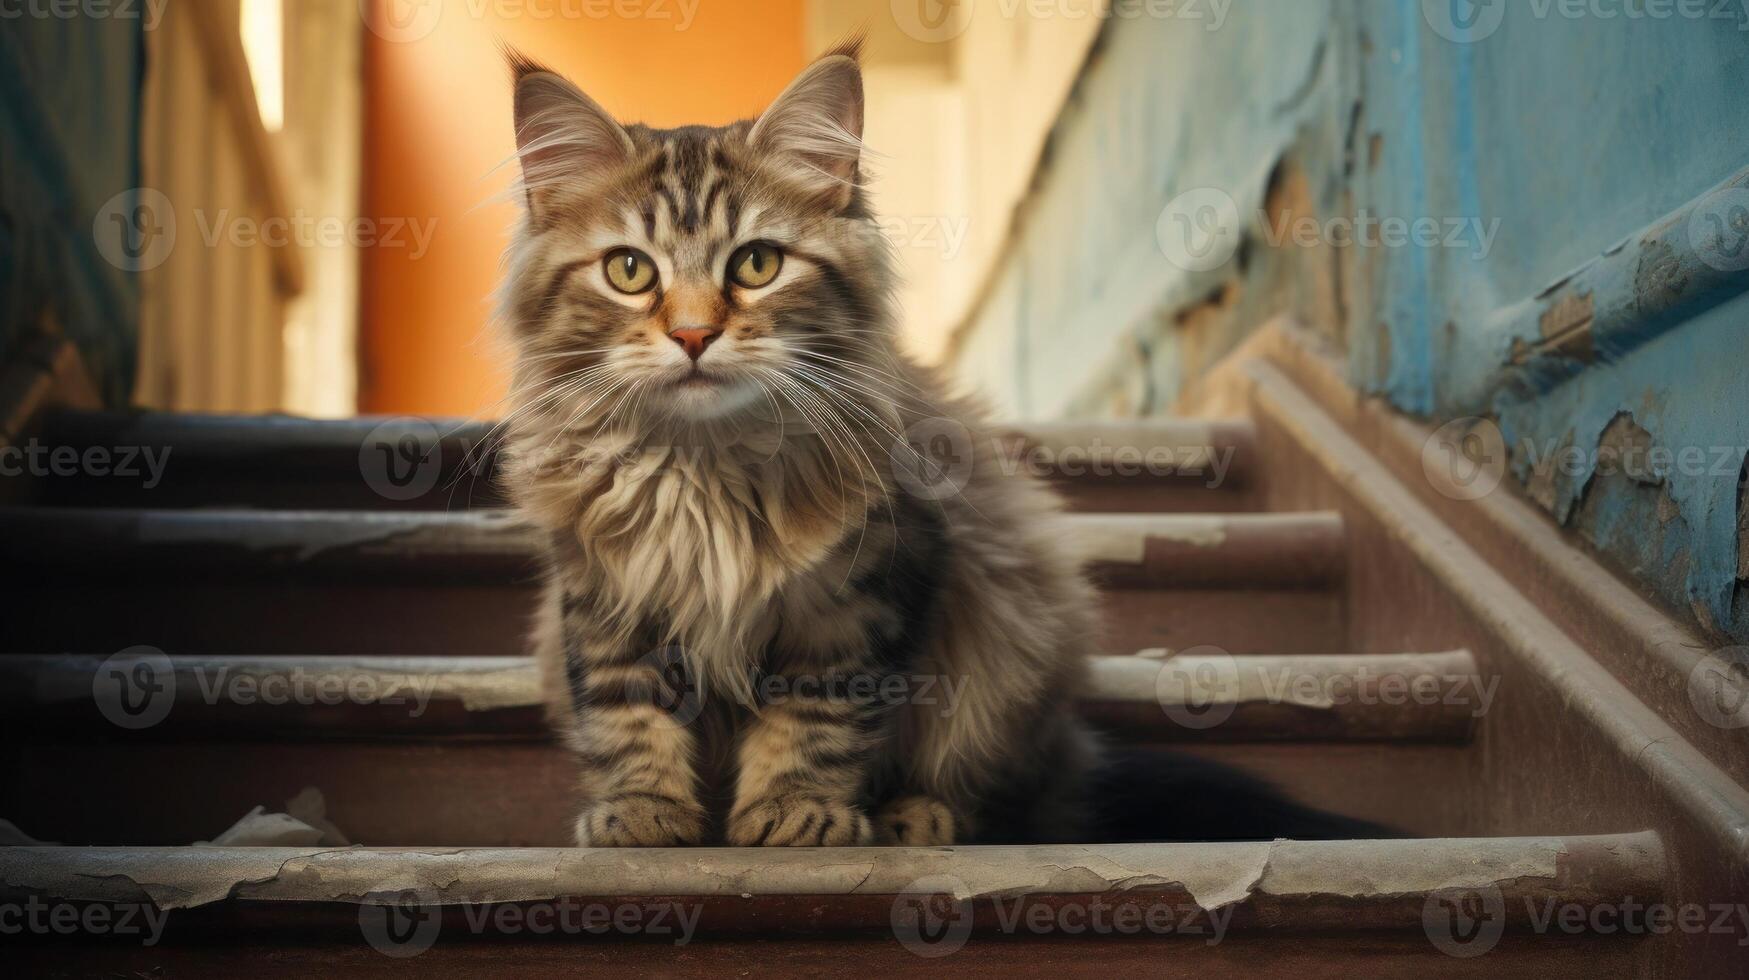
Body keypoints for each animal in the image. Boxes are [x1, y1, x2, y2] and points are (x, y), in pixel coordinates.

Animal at [496, 42, 1392, 847]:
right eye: (629, 271)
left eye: (755, 264)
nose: (690, 336)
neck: (705, 462)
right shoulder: (600, 596)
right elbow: (627, 715)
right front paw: (644, 813)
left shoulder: (868, 587)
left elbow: (815, 716)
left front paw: (794, 810)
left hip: (1013, 640)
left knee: (994, 799)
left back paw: (917, 819)